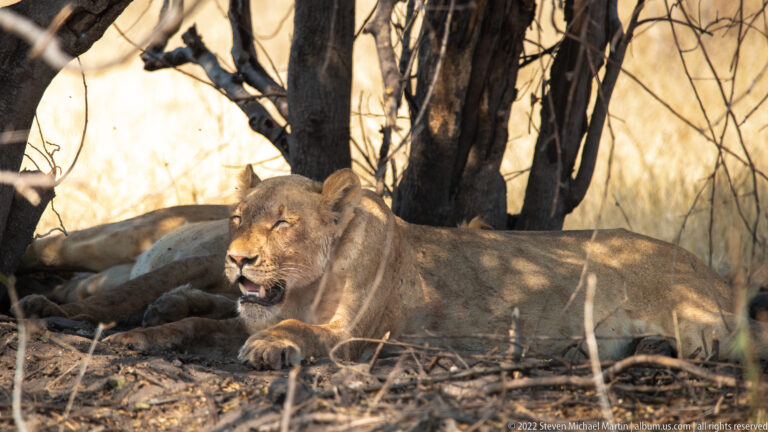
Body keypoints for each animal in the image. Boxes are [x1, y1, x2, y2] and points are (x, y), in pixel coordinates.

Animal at [16, 168, 768, 369]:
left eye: (282, 223)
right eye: (238, 218)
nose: (237, 258)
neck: (305, 287)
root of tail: (714, 270)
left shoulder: (358, 335)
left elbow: (297, 335)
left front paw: (273, 349)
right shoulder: (237, 311)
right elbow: (192, 328)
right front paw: (136, 339)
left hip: (695, 311)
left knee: (735, 343)